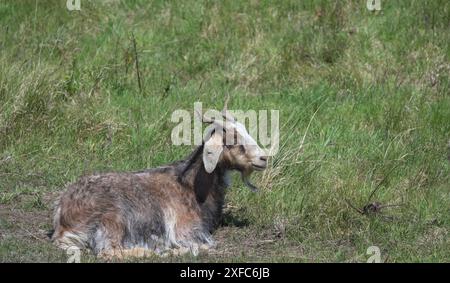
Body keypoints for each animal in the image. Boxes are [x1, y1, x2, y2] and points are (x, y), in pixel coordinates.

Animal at [50, 102, 268, 260]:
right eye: (233, 141)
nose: (263, 158)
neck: (190, 186)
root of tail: (62, 218)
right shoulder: (185, 231)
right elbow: (205, 245)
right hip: (113, 219)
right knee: (107, 251)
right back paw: (157, 251)